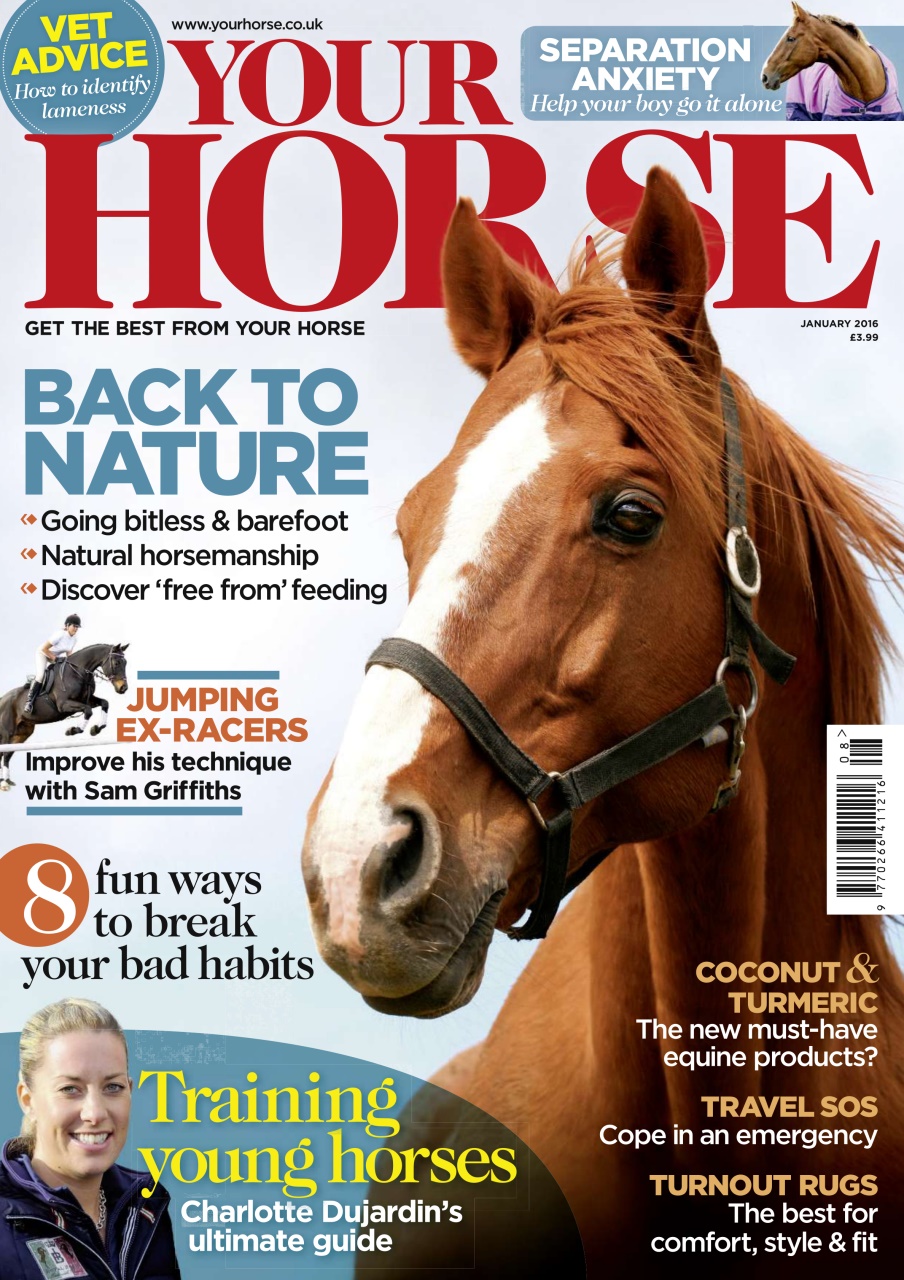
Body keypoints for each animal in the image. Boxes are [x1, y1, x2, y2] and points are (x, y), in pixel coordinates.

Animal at [0, 643, 129, 790]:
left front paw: (96, 728)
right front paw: (73, 730)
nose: (123, 688)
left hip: (22, 734)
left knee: (7, 754)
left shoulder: (87, 700)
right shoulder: (64, 705)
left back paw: (7, 781)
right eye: (117, 663)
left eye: (125, 663)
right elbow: (88, 711)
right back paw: (4, 782)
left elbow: (104, 703)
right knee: (4, 752)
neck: (79, 672)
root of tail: (2, 699)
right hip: (7, 732)